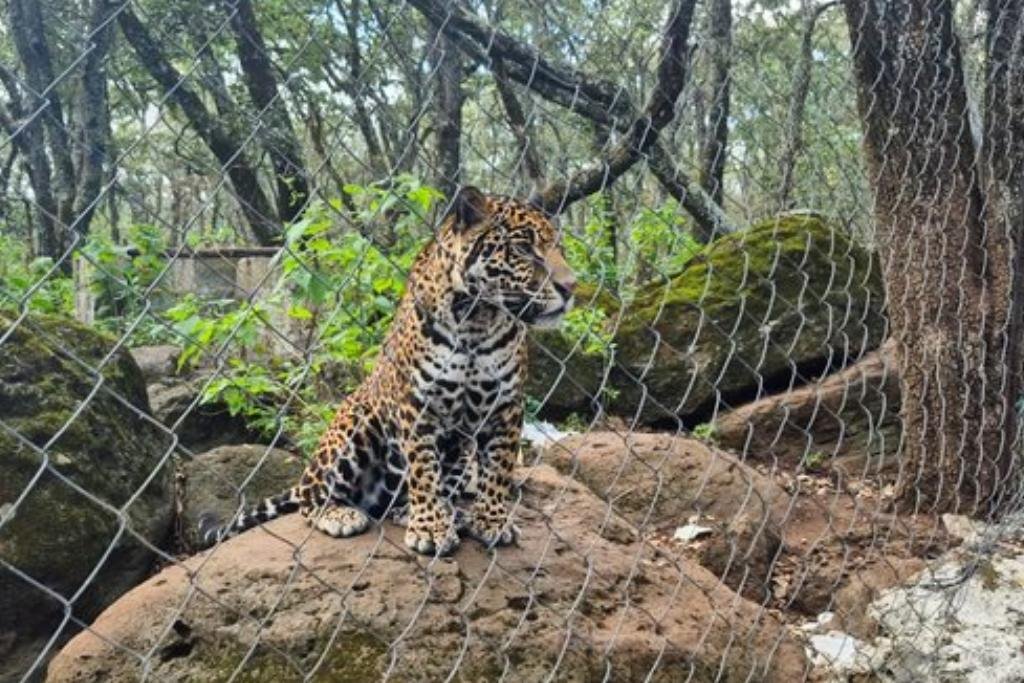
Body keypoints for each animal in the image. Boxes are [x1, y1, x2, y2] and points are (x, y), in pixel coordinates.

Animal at [198, 186, 576, 555]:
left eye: (559, 248)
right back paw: (343, 514)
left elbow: (498, 469)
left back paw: (432, 511)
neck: (477, 321)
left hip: (458, 448)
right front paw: (430, 529)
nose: (572, 287)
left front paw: (492, 521)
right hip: (355, 423)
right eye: (524, 248)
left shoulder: (505, 406)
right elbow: (424, 469)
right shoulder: (417, 403)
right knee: (311, 498)